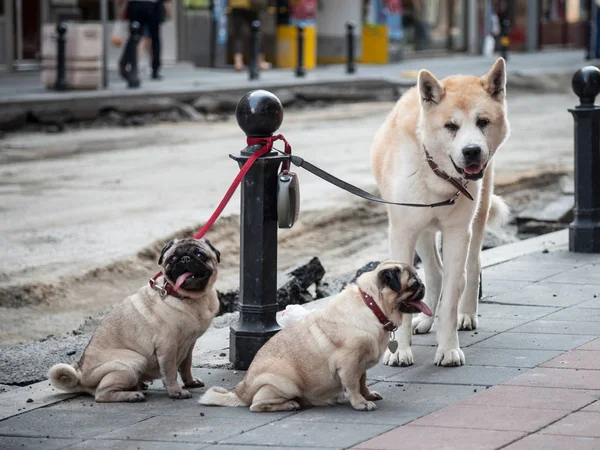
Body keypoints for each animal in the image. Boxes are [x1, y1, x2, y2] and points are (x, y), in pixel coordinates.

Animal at [372, 58, 508, 366]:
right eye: (451, 126)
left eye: (482, 122)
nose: (472, 151)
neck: (437, 174)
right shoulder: (403, 232)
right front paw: (400, 349)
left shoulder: (457, 233)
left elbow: (451, 296)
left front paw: (448, 349)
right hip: (422, 230)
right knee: (434, 275)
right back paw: (424, 320)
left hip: (477, 219)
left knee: (470, 269)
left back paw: (466, 314)